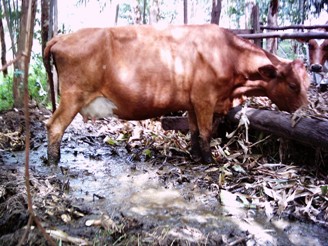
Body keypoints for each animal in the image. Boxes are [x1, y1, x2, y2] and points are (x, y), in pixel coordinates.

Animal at [44, 24, 310, 165]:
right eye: (293, 85)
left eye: (307, 82)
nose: (305, 112)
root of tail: (62, 36)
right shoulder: (205, 99)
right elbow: (206, 132)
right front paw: (210, 161)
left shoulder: (193, 102)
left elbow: (194, 131)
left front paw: (196, 156)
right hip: (73, 96)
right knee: (54, 125)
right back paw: (54, 162)